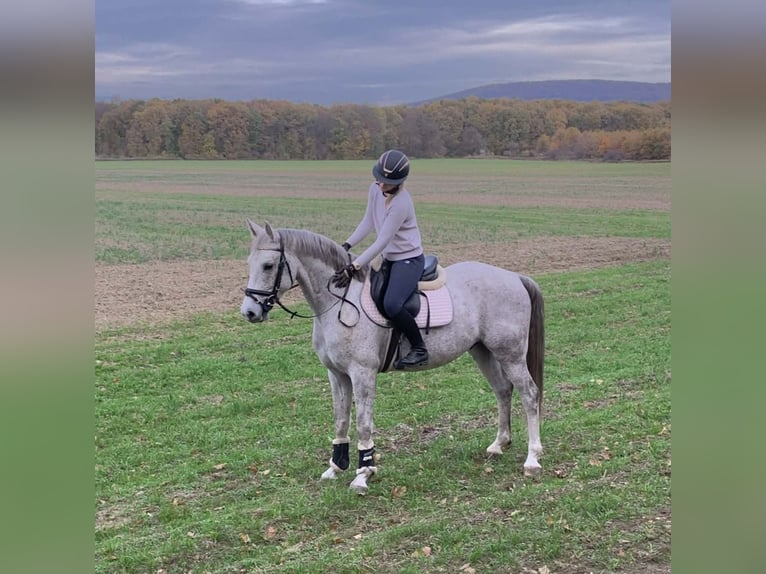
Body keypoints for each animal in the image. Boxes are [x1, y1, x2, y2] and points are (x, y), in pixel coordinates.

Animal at [240, 220, 544, 494]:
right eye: (250, 263)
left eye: (268, 265)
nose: (250, 312)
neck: (339, 302)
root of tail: (514, 277)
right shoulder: (336, 374)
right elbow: (341, 419)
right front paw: (336, 467)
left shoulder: (362, 373)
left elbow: (363, 423)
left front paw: (363, 475)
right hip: (483, 351)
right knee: (503, 390)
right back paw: (499, 445)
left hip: (510, 354)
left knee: (529, 394)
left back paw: (532, 460)